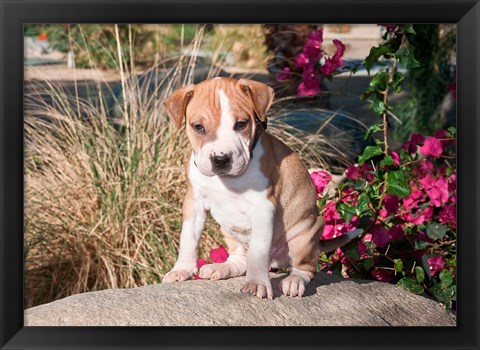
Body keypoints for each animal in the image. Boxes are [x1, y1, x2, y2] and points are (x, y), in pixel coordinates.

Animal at [161, 78, 360, 300]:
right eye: (198, 127)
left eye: (241, 124)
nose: (221, 160)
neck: (227, 180)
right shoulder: (194, 203)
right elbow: (188, 238)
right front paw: (182, 270)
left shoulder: (263, 208)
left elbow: (258, 251)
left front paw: (257, 283)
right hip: (230, 233)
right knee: (240, 260)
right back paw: (221, 268)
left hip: (306, 234)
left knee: (306, 268)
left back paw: (293, 281)